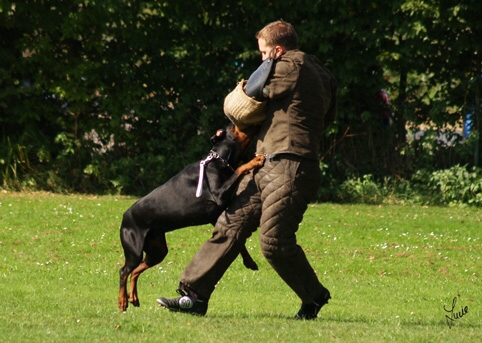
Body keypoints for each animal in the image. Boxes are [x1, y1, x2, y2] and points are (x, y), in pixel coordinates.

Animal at [118, 123, 266, 312]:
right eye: (234, 126)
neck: (218, 160)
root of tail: (124, 217)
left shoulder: (217, 214)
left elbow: (239, 243)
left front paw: (250, 262)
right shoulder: (219, 195)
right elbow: (239, 169)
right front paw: (255, 160)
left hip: (157, 250)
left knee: (136, 270)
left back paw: (134, 297)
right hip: (134, 248)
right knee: (124, 271)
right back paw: (122, 301)